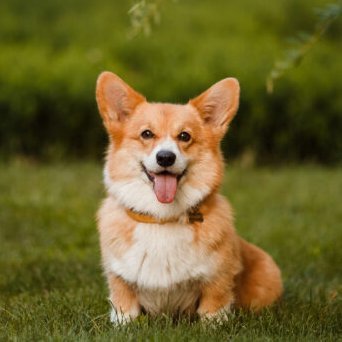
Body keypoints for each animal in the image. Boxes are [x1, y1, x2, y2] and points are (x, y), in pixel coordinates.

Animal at [96, 72, 284, 324]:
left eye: (184, 136)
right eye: (147, 134)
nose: (166, 157)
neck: (162, 219)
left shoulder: (218, 281)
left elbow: (213, 311)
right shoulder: (119, 279)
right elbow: (124, 310)